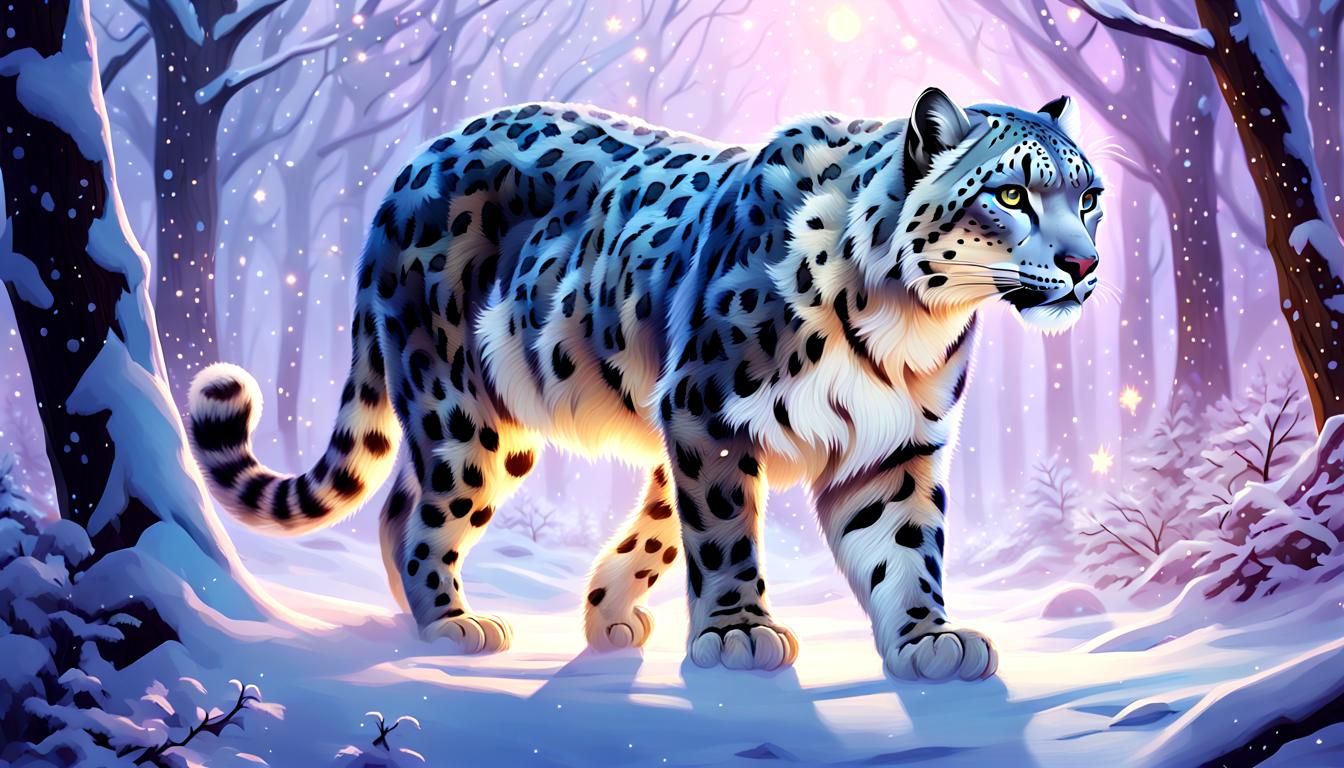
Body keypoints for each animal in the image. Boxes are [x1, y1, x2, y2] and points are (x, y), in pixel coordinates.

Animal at [187, 88, 1103, 681]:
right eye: (1011, 193)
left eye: (1089, 196)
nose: (1084, 263)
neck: (909, 325)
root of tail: (415, 162)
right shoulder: (707, 410)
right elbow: (725, 532)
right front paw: (737, 633)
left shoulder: (895, 445)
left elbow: (905, 547)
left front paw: (925, 639)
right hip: (461, 409)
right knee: (420, 510)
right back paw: (450, 625)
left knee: (401, 503)